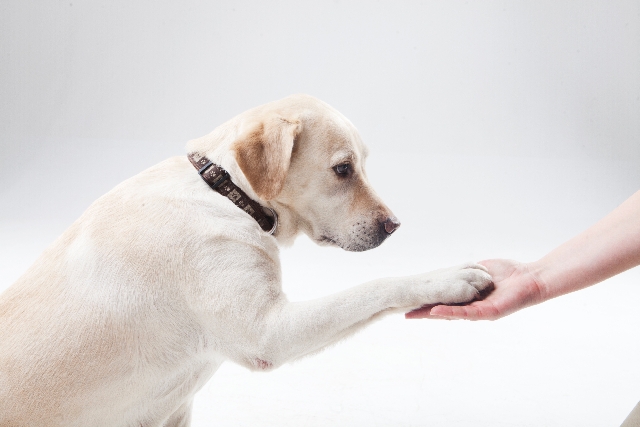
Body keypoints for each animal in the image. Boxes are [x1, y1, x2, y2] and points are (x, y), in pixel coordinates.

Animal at [0, 95, 496, 426]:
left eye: (363, 164)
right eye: (343, 169)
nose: (394, 225)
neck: (226, 192)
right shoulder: (268, 333)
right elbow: (373, 287)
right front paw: (448, 278)